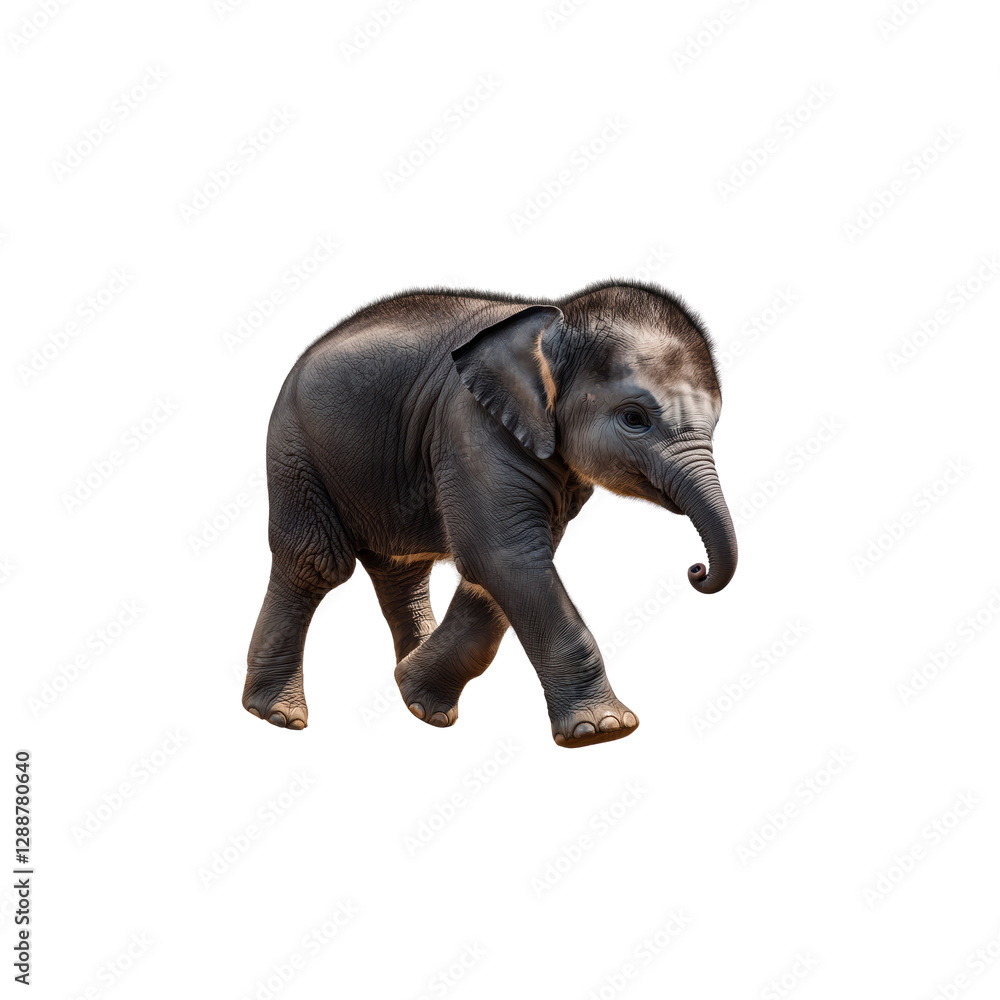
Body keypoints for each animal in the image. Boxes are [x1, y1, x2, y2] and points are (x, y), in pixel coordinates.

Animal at [242, 281, 737, 748]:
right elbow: (505, 557)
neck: (558, 317)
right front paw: (604, 730)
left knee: (401, 568)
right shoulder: (470, 426)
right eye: (635, 418)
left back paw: (411, 696)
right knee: (315, 563)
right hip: (295, 450)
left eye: (716, 422)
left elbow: (500, 569)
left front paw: (418, 698)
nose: (696, 570)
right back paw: (278, 716)